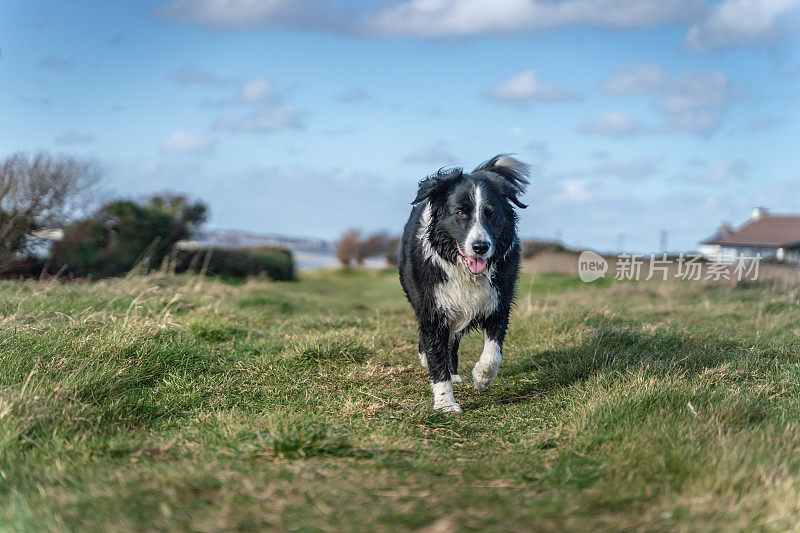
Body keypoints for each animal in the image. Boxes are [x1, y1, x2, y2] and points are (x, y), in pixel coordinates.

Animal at [396, 154, 528, 412]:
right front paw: (445, 404)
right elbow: (436, 353)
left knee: (453, 343)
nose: (481, 247)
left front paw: (482, 377)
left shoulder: (499, 300)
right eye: (460, 213)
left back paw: (457, 374)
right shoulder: (433, 308)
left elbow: (493, 351)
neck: (464, 270)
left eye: (492, 214)